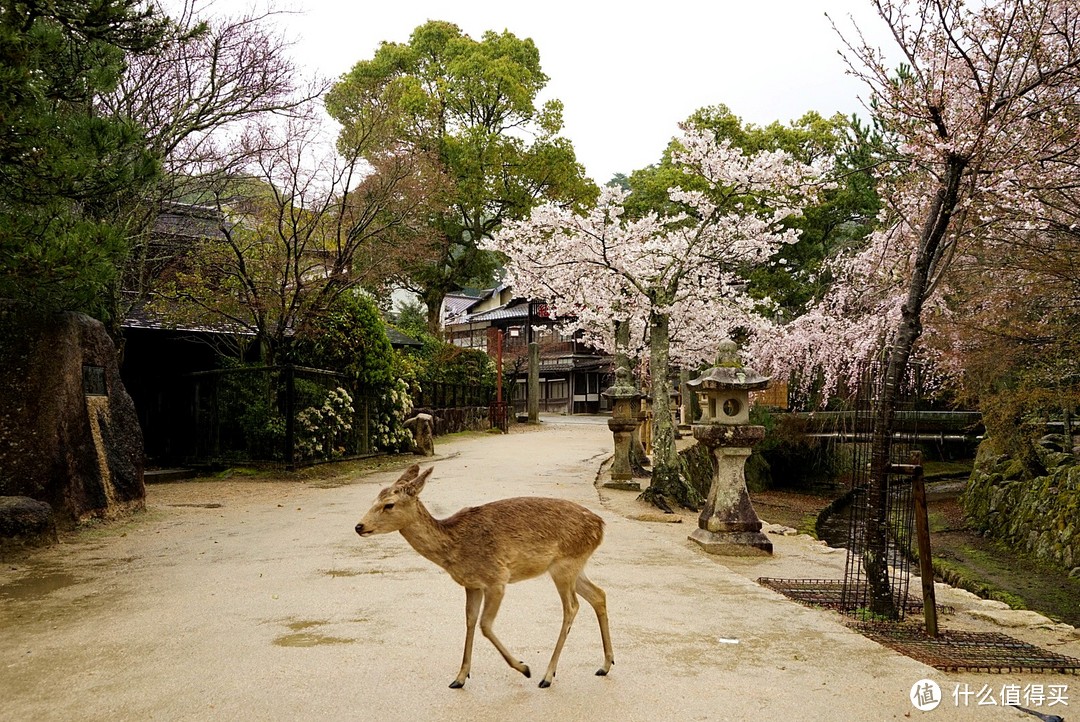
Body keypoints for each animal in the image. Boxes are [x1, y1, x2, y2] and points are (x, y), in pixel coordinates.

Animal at [352, 461, 613, 686]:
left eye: (389, 504)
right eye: (375, 498)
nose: (359, 526)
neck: (455, 548)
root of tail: (601, 526)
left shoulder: (497, 578)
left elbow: (485, 625)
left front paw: (523, 667)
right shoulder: (472, 584)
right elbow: (470, 620)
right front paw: (459, 677)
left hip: (564, 566)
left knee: (572, 607)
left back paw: (547, 675)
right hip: (575, 566)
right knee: (599, 594)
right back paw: (605, 665)